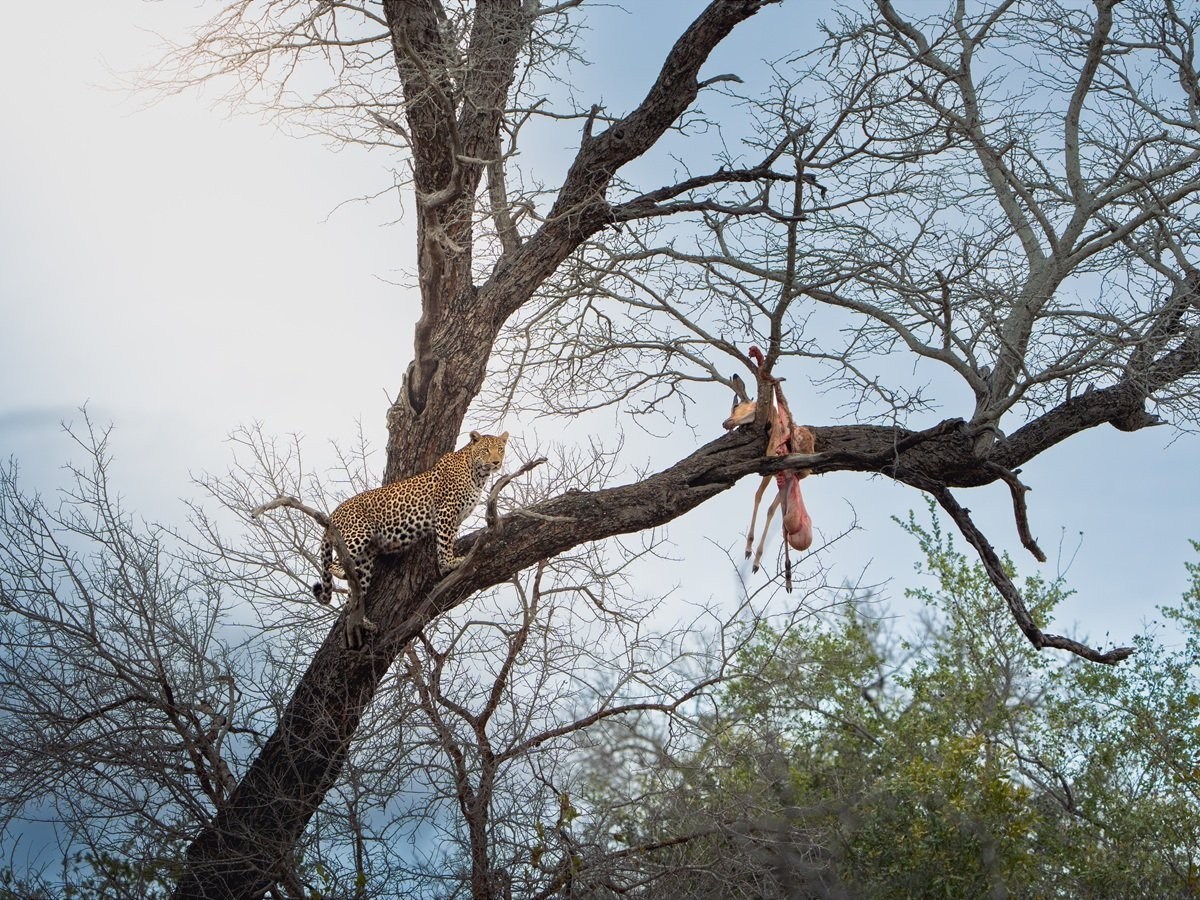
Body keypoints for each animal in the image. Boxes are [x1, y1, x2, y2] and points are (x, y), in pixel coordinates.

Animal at [312, 430, 509, 606]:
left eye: (500, 449)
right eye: (485, 450)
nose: (496, 462)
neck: (478, 475)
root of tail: (333, 514)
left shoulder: (457, 517)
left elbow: (448, 540)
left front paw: (446, 563)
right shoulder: (447, 510)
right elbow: (445, 542)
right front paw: (449, 563)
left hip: (366, 556)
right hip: (357, 534)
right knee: (332, 565)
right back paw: (344, 574)